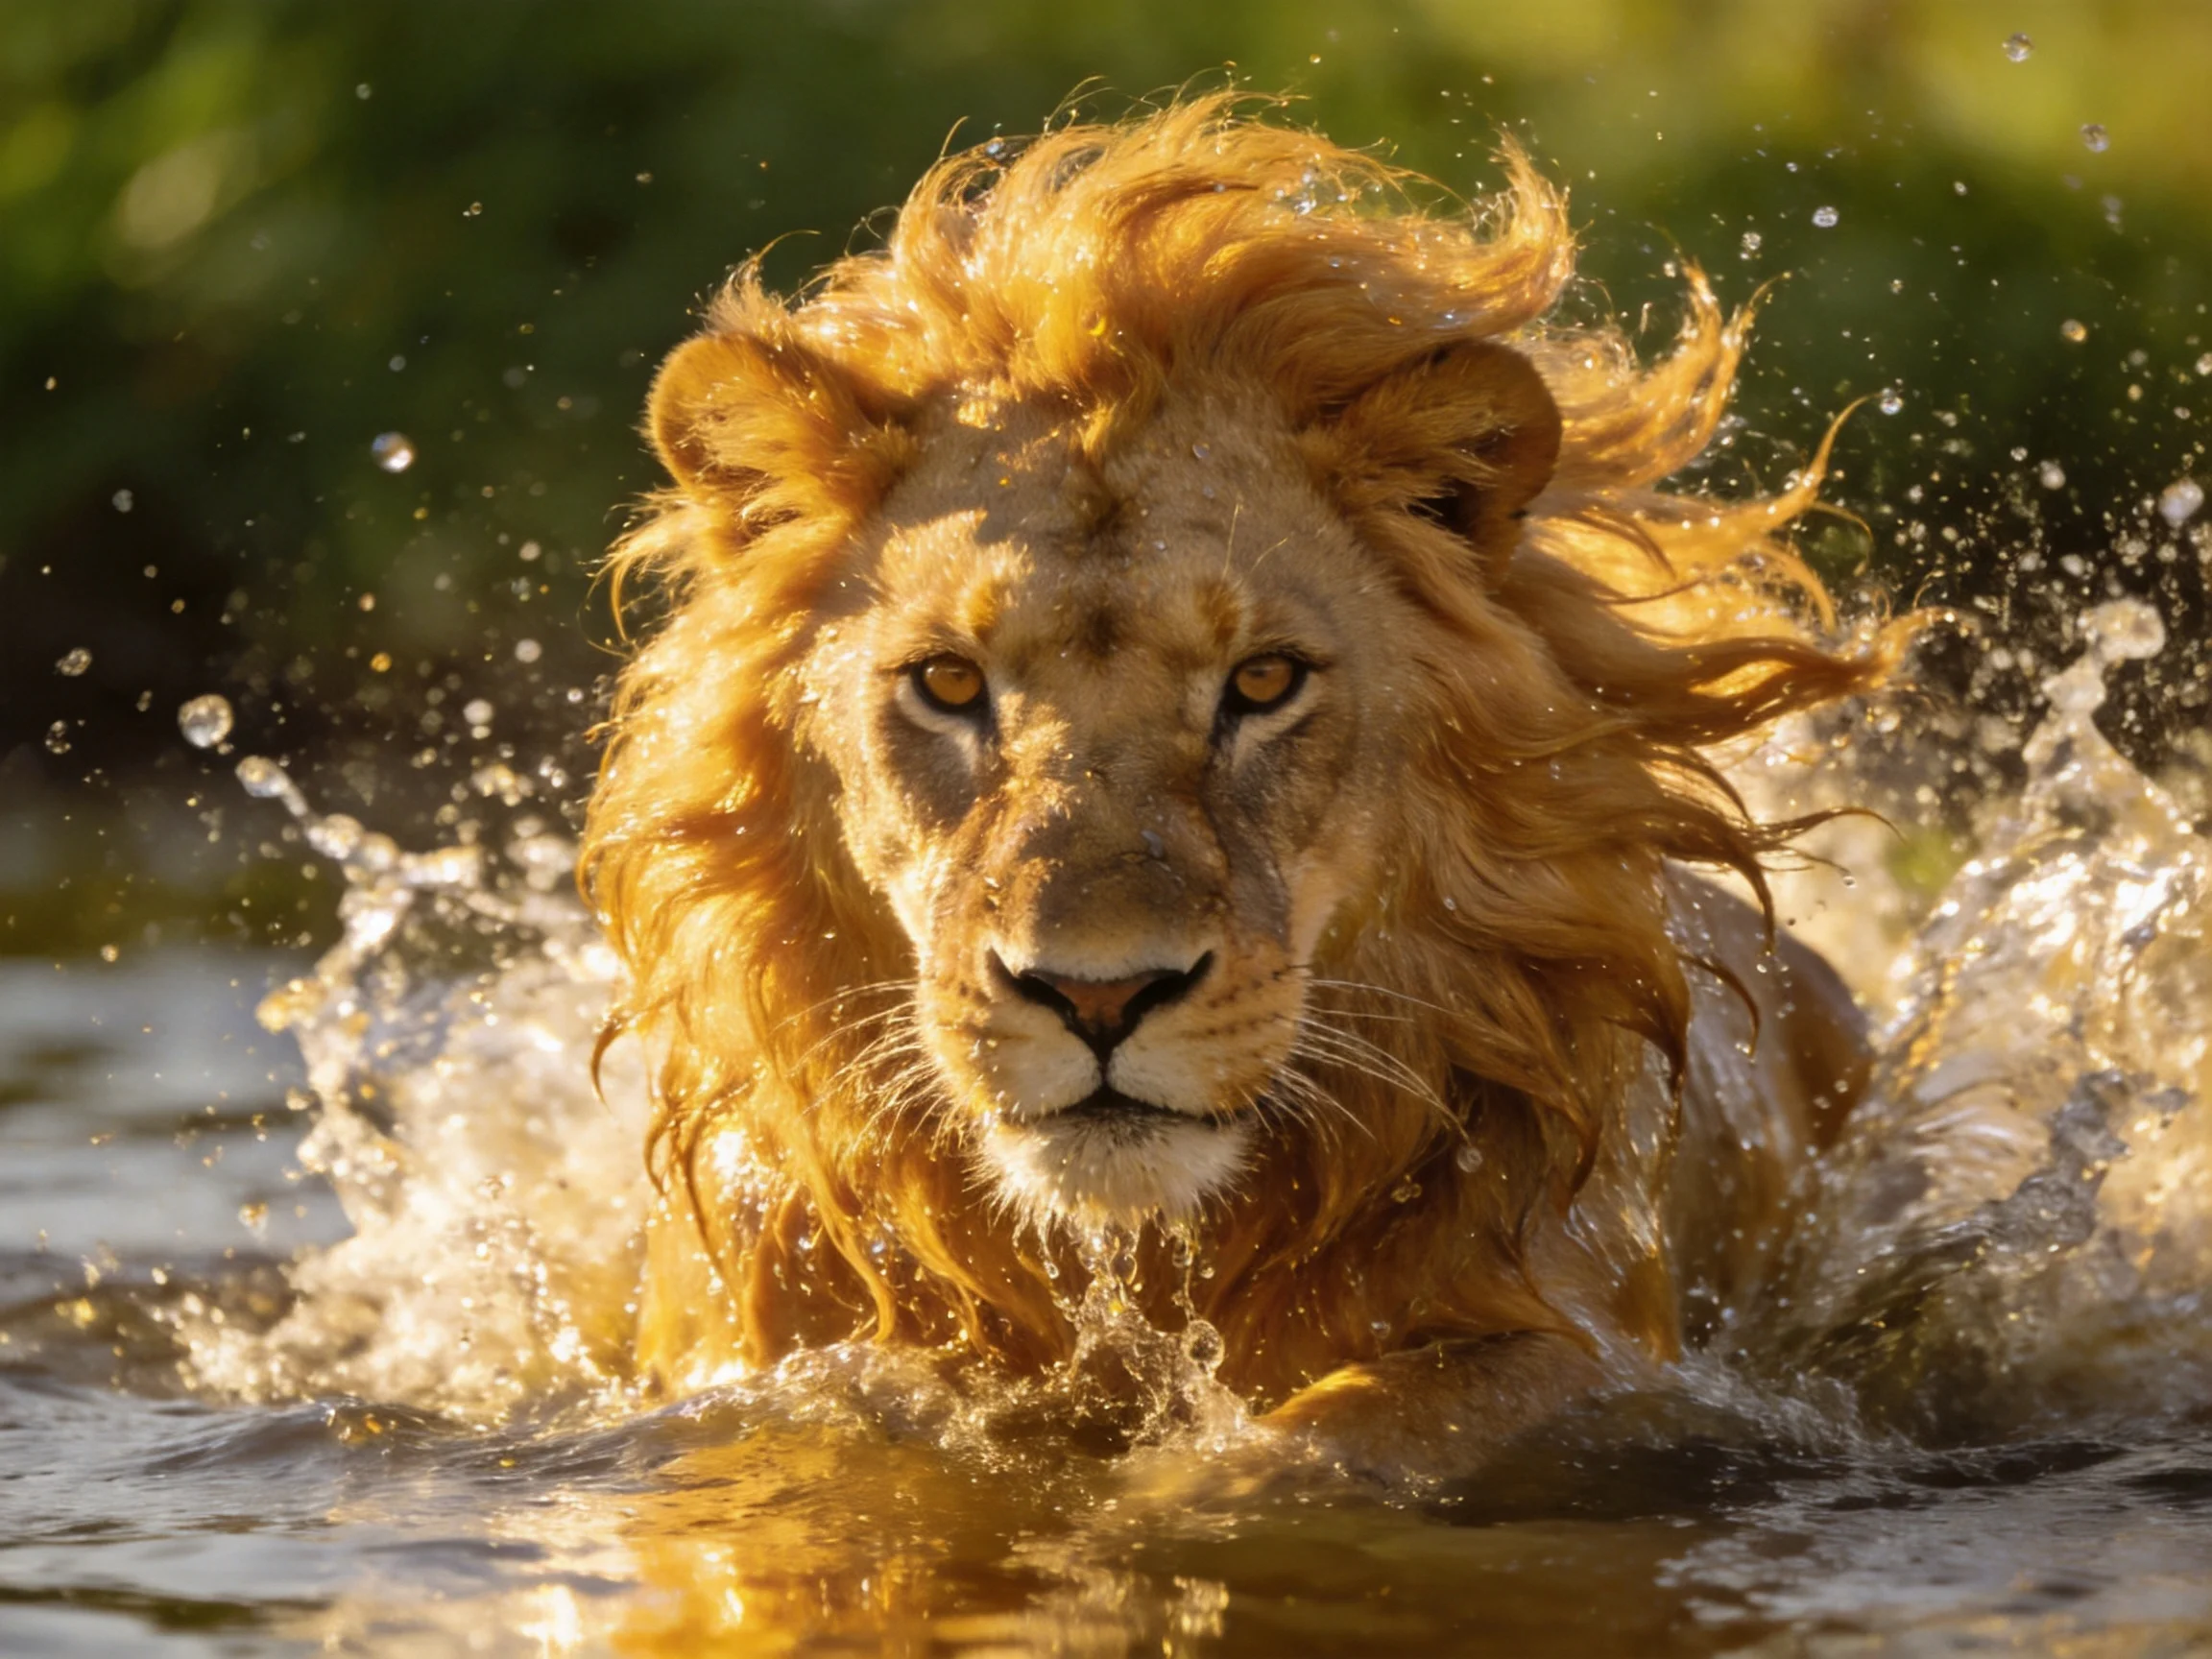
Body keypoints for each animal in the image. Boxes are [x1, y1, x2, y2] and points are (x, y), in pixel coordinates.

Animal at [581, 96, 1893, 1480]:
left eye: (1263, 681)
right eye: (947, 681)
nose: (1098, 997)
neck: (1131, 1259)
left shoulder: (1594, 1354)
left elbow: (1320, 1444)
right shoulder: (738, 1360)